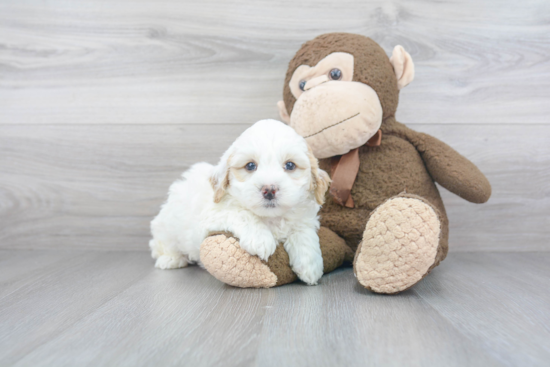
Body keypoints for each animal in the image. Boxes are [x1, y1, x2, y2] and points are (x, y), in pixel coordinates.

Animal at [149, 119, 332, 286]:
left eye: (290, 165)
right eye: (250, 166)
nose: (269, 190)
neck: (271, 218)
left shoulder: (304, 218)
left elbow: (303, 232)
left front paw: (310, 265)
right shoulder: (213, 214)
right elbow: (242, 213)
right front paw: (260, 239)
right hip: (166, 226)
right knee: (161, 244)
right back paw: (170, 260)